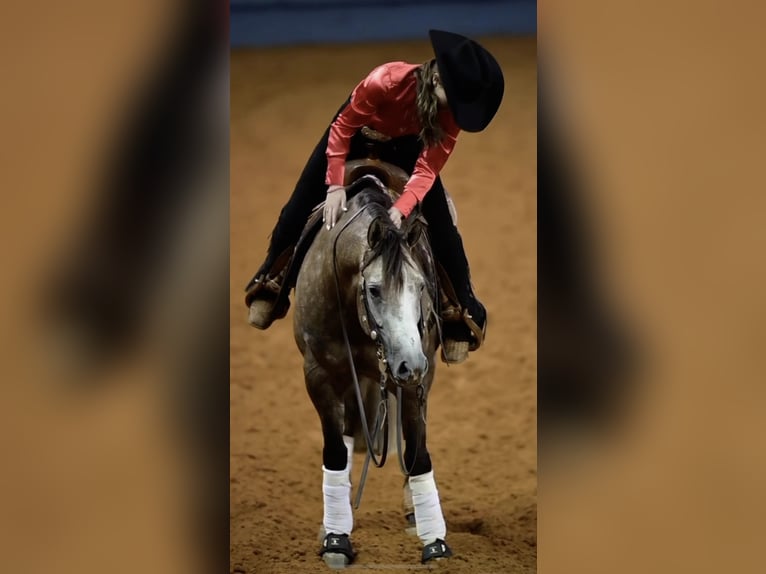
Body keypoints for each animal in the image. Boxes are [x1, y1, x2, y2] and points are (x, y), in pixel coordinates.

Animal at [291, 173, 454, 568]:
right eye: (375, 290)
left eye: (420, 286)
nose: (410, 363)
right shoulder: (318, 374)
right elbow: (336, 450)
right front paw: (336, 538)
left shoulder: (416, 379)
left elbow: (417, 453)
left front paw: (434, 541)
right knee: (350, 431)